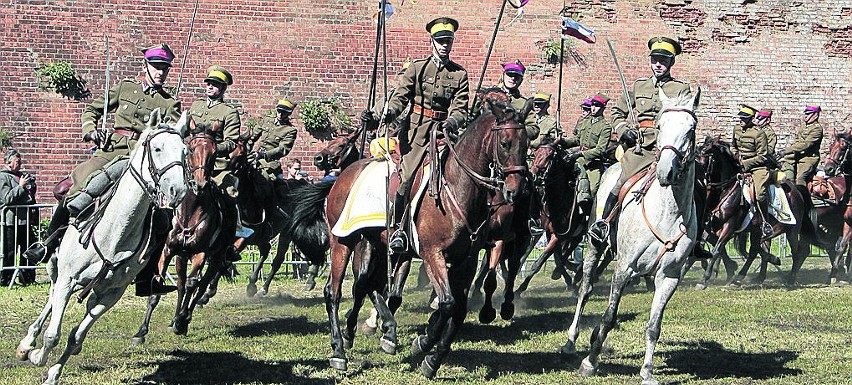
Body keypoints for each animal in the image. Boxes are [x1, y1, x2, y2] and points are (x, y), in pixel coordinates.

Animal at [14, 108, 188, 384]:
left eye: (184, 151)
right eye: (157, 148)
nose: (177, 191)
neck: (115, 233)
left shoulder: (110, 294)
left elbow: (76, 337)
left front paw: (53, 372)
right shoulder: (68, 279)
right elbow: (53, 335)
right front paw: (37, 356)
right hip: (57, 269)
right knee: (51, 297)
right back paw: (27, 343)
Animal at [318, 88, 532, 378]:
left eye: (527, 143)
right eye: (506, 143)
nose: (515, 191)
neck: (457, 188)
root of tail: (343, 176)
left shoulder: (465, 260)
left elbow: (458, 310)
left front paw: (432, 359)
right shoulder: (432, 255)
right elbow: (447, 303)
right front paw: (424, 343)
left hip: (376, 243)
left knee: (366, 285)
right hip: (343, 241)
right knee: (334, 291)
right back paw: (339, 351)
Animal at [564, 88, 700, 384]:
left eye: (691, 129)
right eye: (660, 126)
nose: (665, 171)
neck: (668, 212)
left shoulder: (669, 277)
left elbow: (653, 326)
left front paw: (647, 371)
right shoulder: (623, 268)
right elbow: (609, 316)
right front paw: (590, 362)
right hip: (595, 247)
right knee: (585, 290)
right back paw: (571, 340)